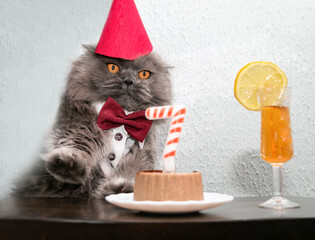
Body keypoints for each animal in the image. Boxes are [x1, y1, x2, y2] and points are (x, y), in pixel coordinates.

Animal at [13, 45, 173, 199]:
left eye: (144, 74)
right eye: (113, 67)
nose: (128, 80)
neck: (122, 117)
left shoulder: (142, 154)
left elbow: (131, 170)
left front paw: (121, 188)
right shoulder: (79, 128)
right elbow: (78, 144)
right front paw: (68, 165)